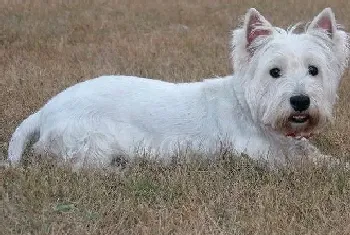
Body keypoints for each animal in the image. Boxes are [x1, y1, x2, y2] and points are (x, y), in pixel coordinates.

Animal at [6, 8, 348, 168]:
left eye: (314, 70)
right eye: (274, 72)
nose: (300, 101)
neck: (250, 110)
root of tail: (45, 110)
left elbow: (316, 157)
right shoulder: (257, 154)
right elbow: (301, 166)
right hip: (92, 140)